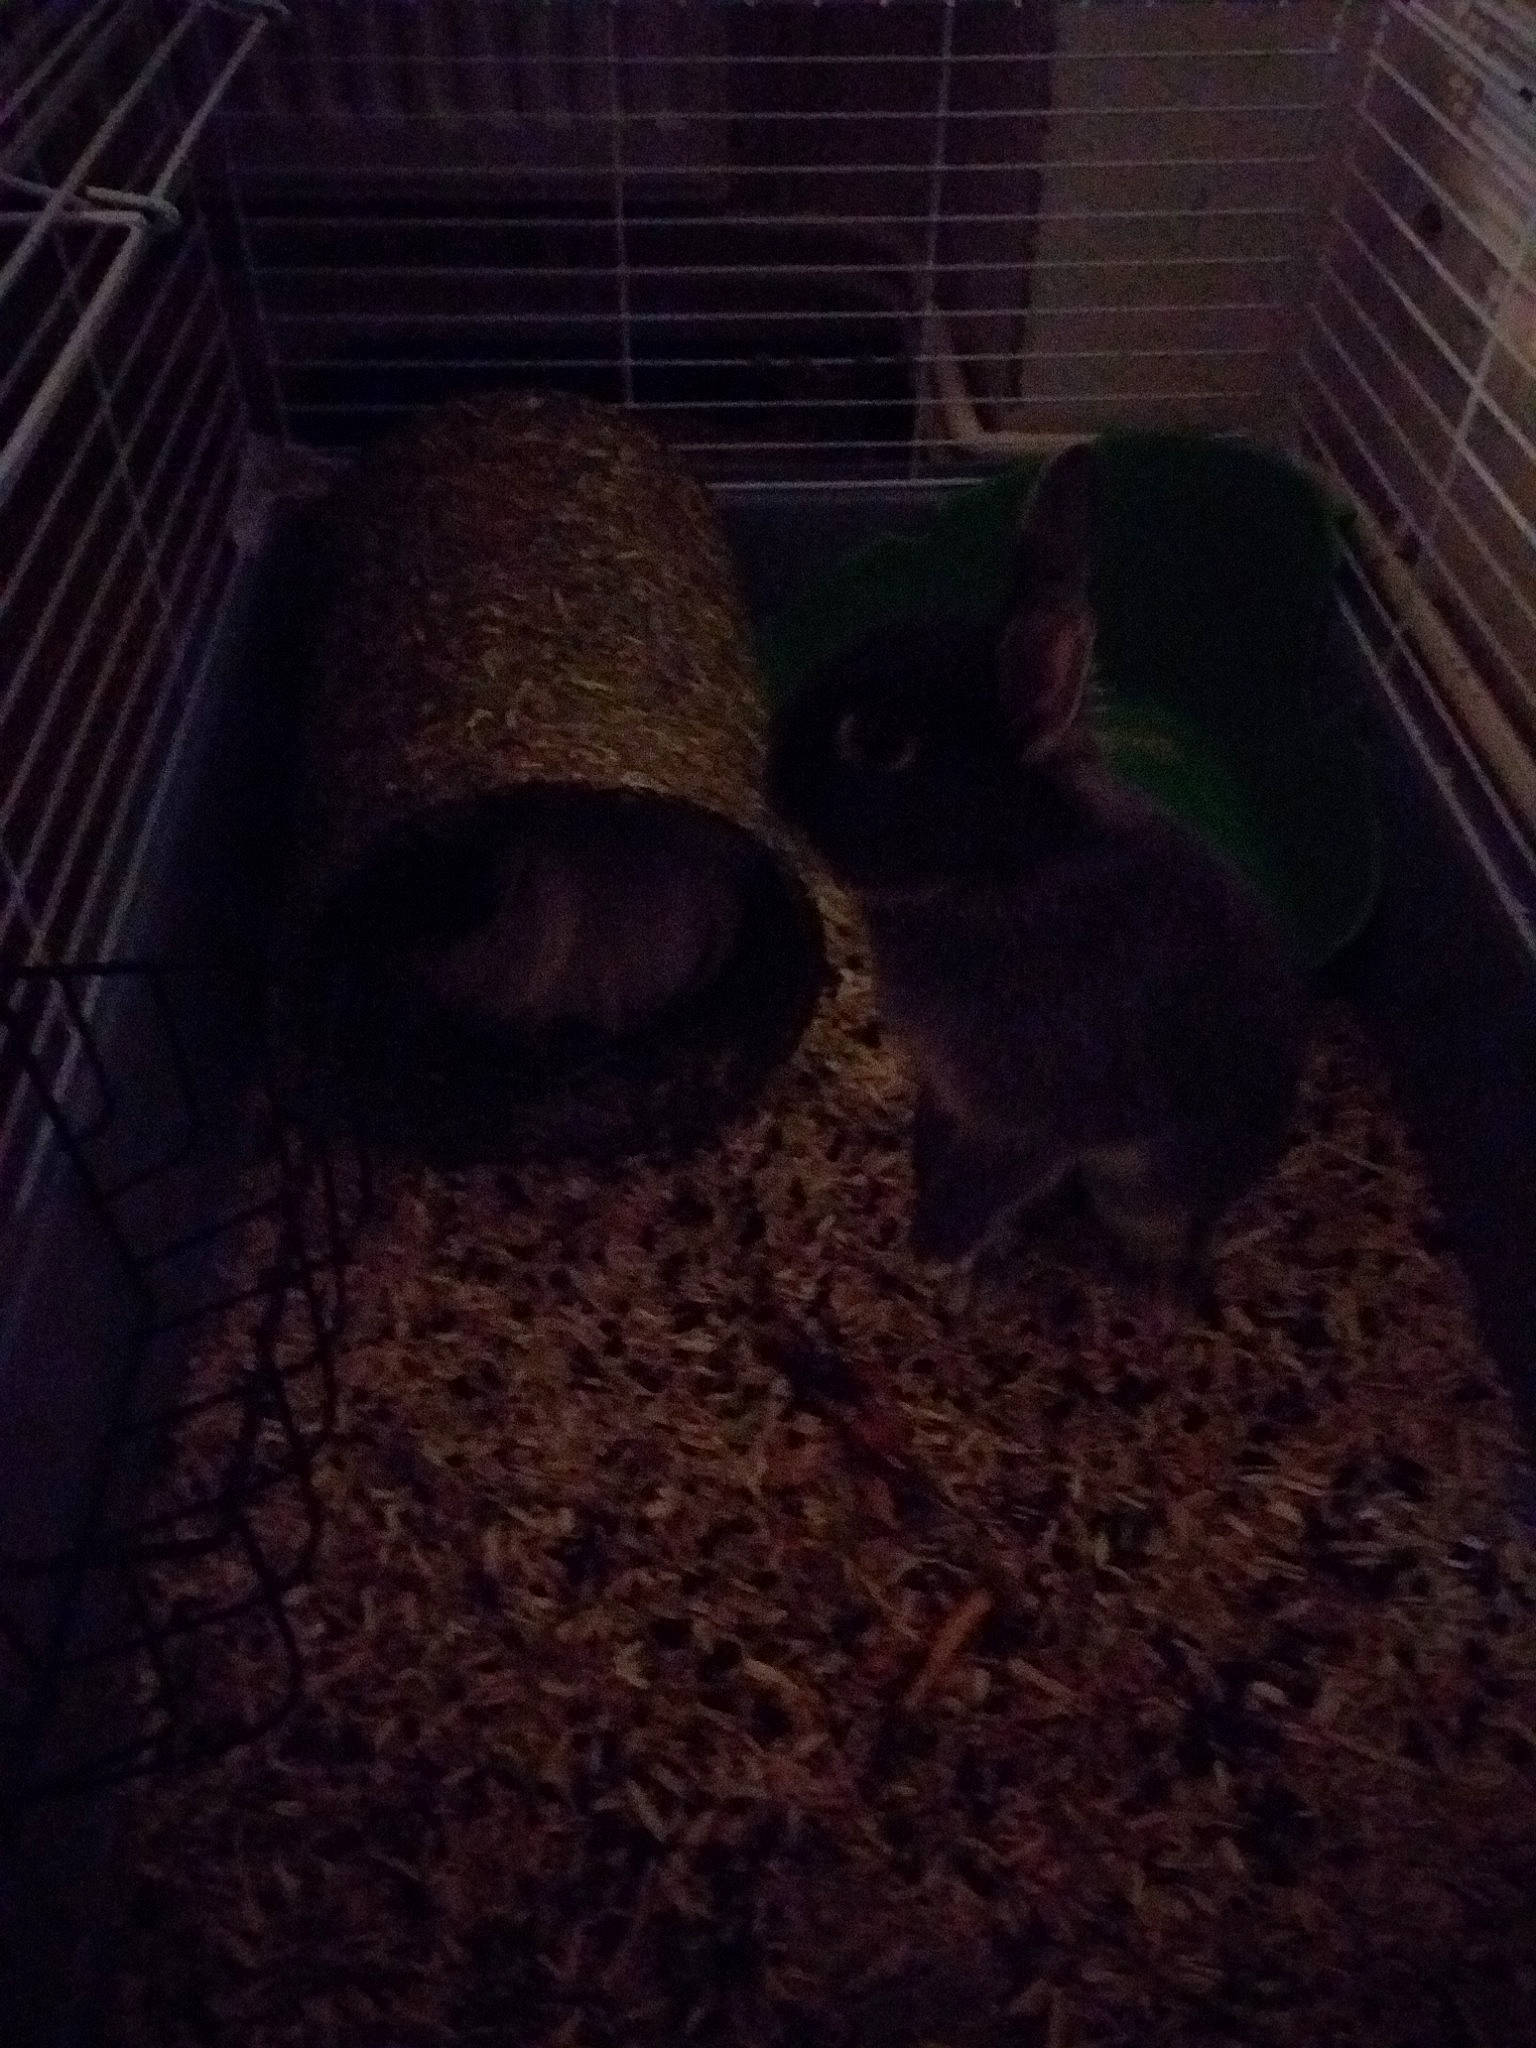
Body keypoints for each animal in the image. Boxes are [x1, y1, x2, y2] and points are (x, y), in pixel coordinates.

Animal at [764, 441, 1308, 1281]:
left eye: (881, 743)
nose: (772, 781)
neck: (996, 873)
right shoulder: (951, 1084)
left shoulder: (1042, 1109)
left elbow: (995, 1174)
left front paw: (935, 1247)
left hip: (1143, 1186)